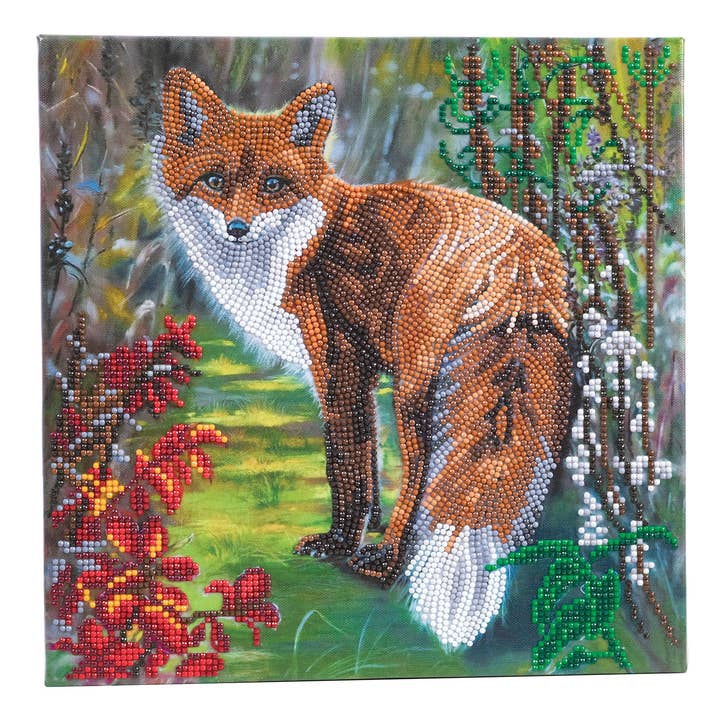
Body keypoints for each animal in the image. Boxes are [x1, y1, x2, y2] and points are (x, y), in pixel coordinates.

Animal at [152, 68, 573, 648]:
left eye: (273, 185)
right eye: (214, 181)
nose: (237, 228)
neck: (298, 247)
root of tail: (523, 262)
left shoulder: (340, 363)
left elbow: (344, 465)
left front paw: (339, 543)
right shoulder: (360, 370)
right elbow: (369, 460)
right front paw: (368, 522)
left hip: (418, 385)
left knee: (421, 472)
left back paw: (387, 563)